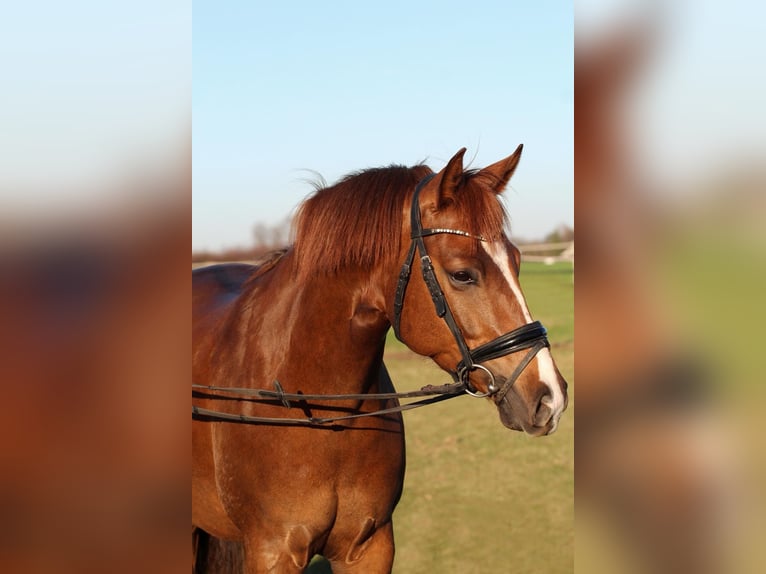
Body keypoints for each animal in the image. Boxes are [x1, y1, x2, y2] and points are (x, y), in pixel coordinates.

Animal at [192, 146, 568, 573]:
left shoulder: (370, 546)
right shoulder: (272, 552)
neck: (320, 410)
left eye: (518, 261)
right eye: (462, 274)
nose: (551, 396)